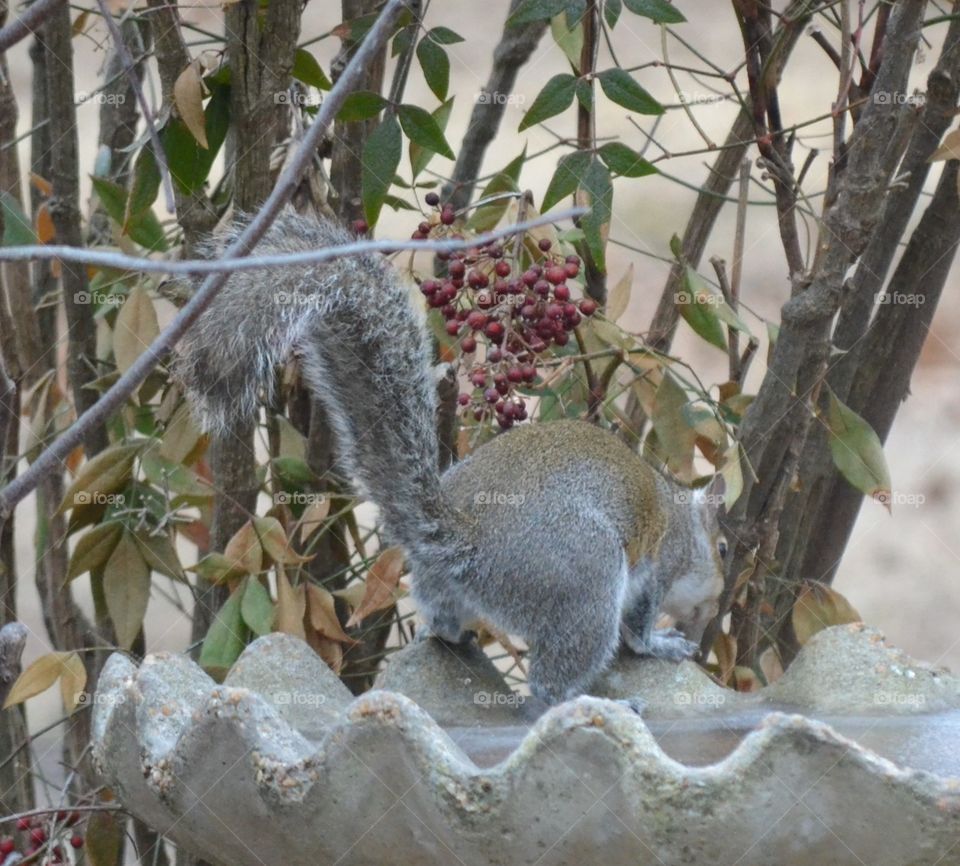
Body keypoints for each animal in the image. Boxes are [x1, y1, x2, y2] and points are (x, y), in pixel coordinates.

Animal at [175, 210, 727, 705]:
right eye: (723, 548)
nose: (710, 615)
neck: (680, 513)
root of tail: (464, 538)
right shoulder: (659, 564)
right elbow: (638, 626)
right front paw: (660, 643)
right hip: (586, 577)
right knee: (551, 681)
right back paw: (587, 700)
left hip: (444, 585)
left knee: (444, 622)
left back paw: (447, 634)